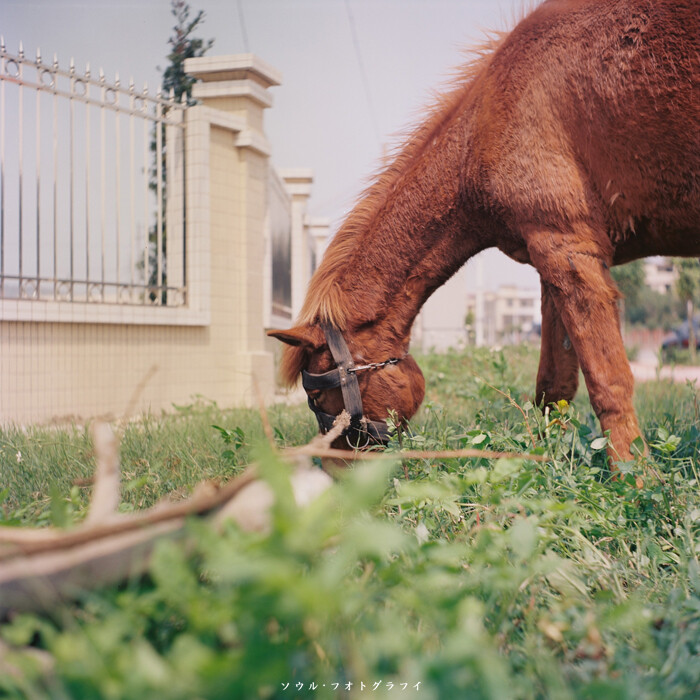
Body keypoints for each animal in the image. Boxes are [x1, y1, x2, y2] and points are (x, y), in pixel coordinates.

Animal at [270, 0, 700, 462]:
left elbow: (609, 382)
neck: (483, 129)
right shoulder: (555, 260)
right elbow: (554, 386)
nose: (335, 465)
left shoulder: (568, 250)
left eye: (316, 398)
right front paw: (547, 460)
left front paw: (633, 473)